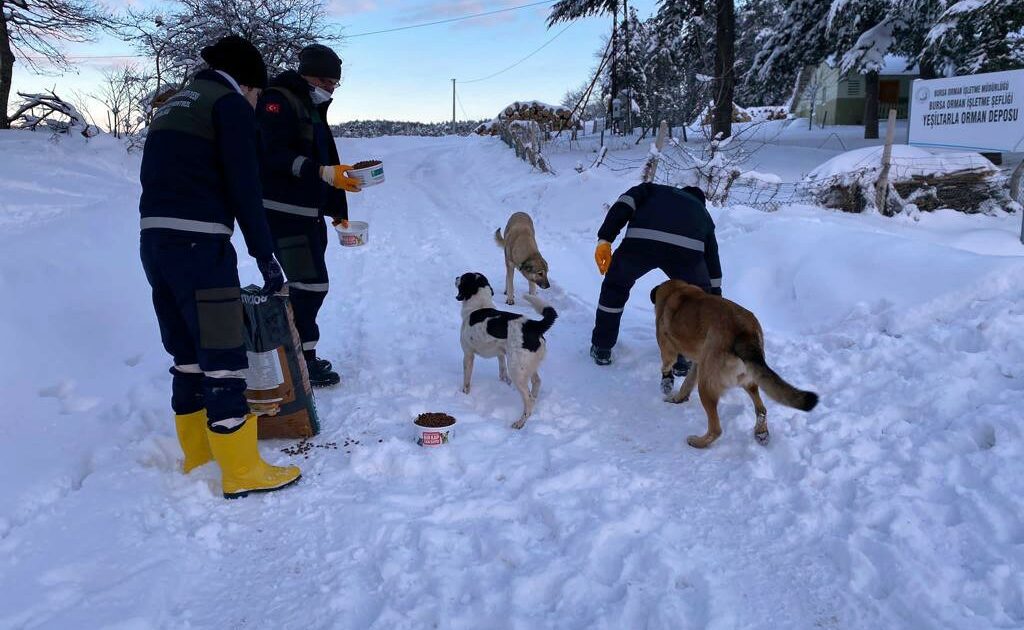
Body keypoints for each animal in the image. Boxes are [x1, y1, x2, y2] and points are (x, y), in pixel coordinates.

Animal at [458, 270, 561, 428]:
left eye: (462, 278)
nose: (456, 277)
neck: (479, 305)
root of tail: (532, 325)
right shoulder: (501, 352)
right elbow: (501, 369)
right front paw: (504, 381)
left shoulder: (468, 354)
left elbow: (467, 379)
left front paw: (464, 394)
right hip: (526, 365)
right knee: (537, 382)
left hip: (517, 370)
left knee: (529, 400)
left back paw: (520, 422)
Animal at [651, 280, 819, 448]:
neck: (676, 289)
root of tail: (745, 332)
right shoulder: (699, 363)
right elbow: (687, 382)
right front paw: (678, 398)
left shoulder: (669, 351)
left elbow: (667, 365)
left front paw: (666, 385)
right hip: (747, 378)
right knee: (761, 409)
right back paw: (761, 432)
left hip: (706, 386)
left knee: (716, 429)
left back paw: (697, 442)